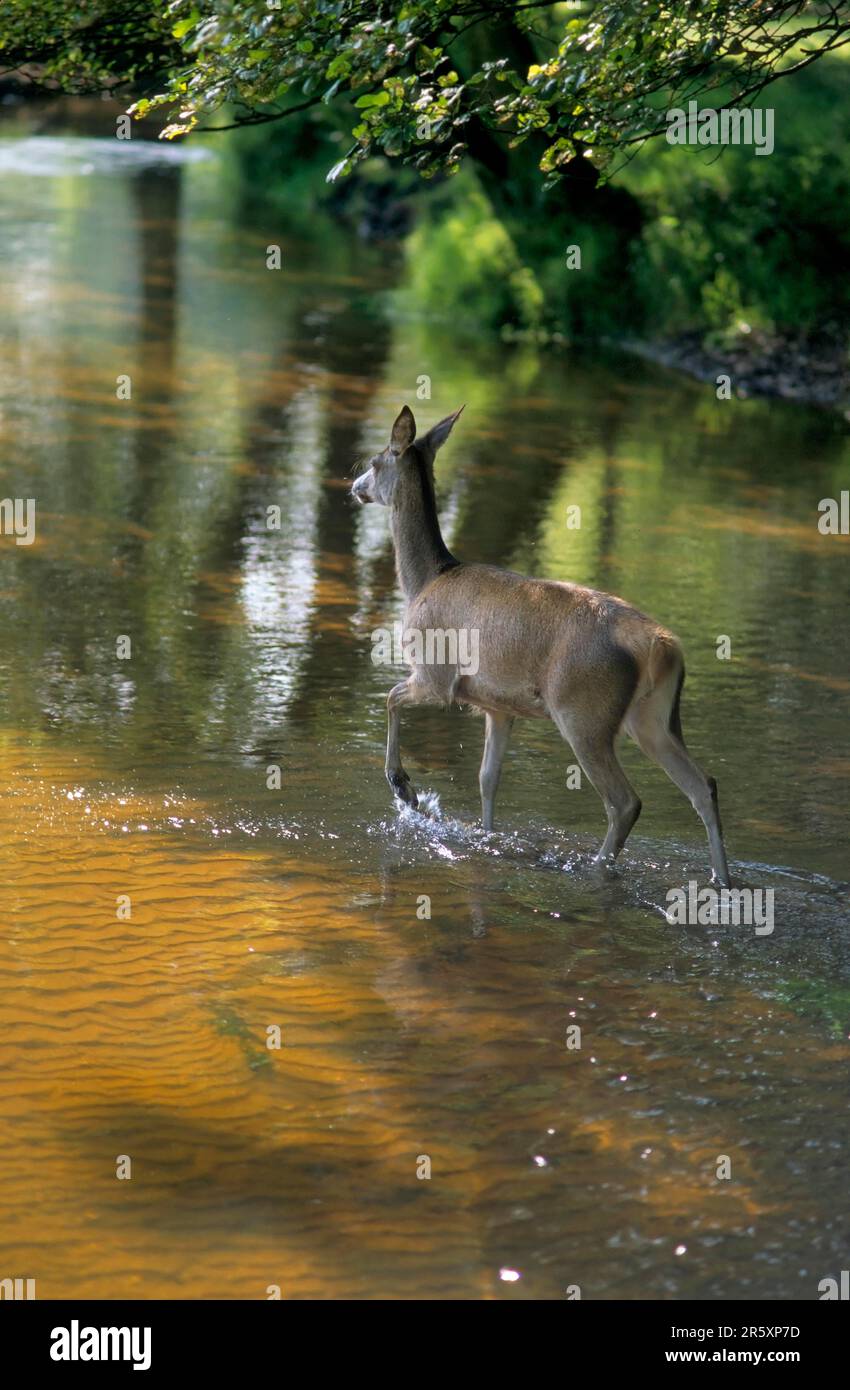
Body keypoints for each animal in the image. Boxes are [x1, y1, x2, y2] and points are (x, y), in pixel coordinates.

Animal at [351, 405, 731, 887]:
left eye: (375, 460)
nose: (355, 486)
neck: (424, 581)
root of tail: (662, 646)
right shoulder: (497, 705)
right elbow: (487, 778)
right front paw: (486, 836)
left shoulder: (437, 674)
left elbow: (391, 696)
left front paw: (403, 787)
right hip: (654, 717)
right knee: (704, 785)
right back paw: (723, 880)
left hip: (583, 710)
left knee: (625, 801)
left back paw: (596, 867)